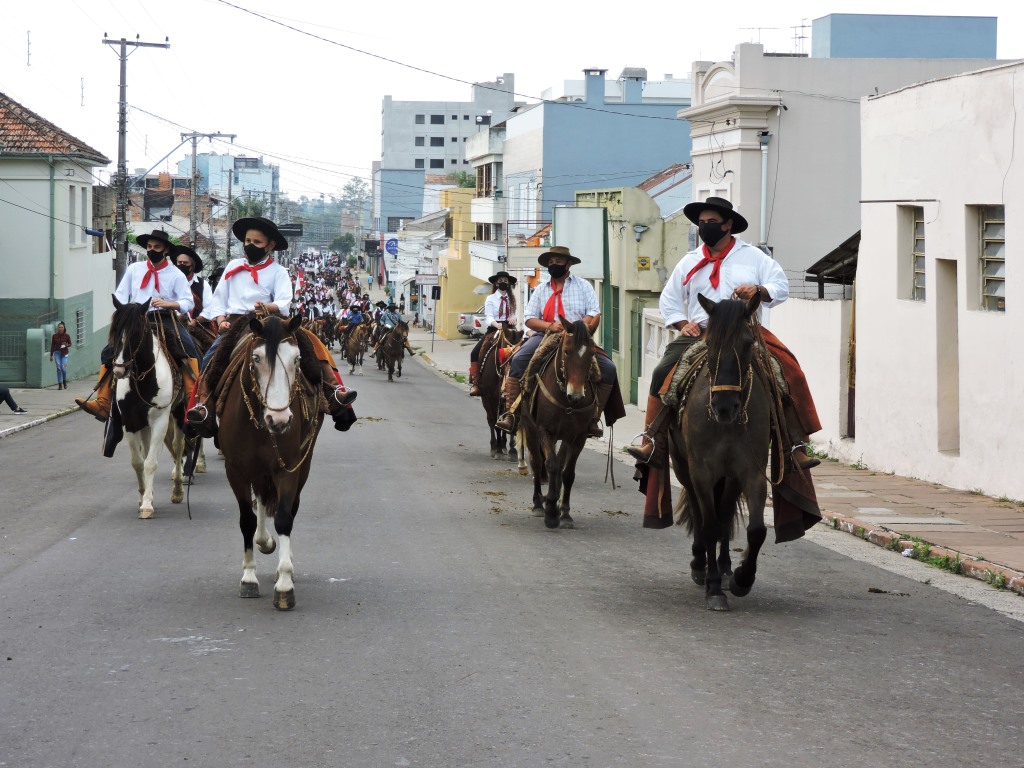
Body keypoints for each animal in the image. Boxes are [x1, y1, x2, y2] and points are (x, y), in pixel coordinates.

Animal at [107, 296, 188, 520]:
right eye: (114, 330)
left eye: (135, 333)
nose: (119, 370)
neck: (142, 379)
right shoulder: (130, 421)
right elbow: (138, 462)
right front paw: (144, 495)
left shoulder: (160, 420)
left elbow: (150, 463)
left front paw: (146, 506)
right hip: (143, 424)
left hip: (178, 412)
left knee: (178, 447)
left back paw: (178, 490)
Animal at [218, 313, 325, 614]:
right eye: (256, 359)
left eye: (297, 359)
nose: (279, 420)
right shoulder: (236, 471)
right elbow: (247, 520)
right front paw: (248, 579)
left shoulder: (287, 469)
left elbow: (285, 517)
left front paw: (285, 585)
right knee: (262, 502)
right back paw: (264, 542)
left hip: (301, 466)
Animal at [520, 315, 598, 532]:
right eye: (567, 351)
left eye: (592, 353)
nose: (576, 396)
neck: (566, 401)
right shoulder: (544, 430)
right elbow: (552, 465)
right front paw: (551, 513)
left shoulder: (578, 436)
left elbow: (567, 472)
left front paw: (564, 513)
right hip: (530, 428)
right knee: (538, 463)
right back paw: (539, 503)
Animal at [671, 294, 770, 614]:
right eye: (710, 343)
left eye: (748, 343)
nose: (725, 406)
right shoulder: (701, 471)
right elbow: (710, 525)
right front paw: (714, 588)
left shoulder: (750, 472)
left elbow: (755, 529)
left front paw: (741, 579)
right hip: (683, 468)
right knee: (700, 514)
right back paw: (700, 564)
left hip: (728, 478)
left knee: (725, 515)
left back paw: (725, 568)